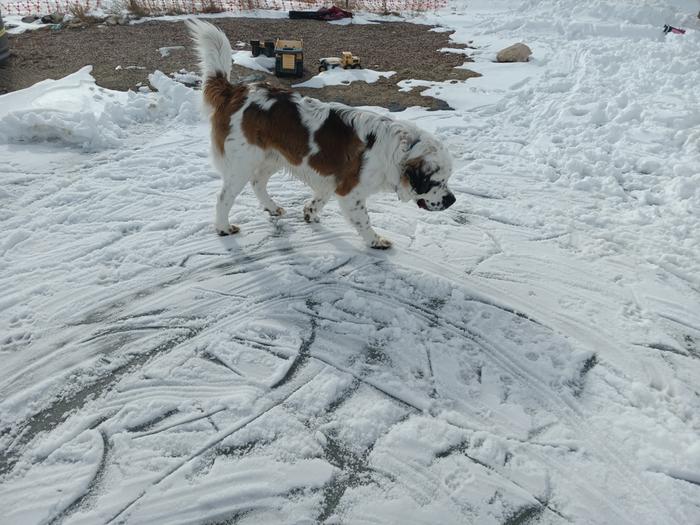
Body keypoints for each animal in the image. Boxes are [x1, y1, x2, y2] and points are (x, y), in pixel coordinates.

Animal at [185, 19, 454, 249]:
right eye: (437, 182)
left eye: (446, 181)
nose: (451, 200)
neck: (400, 150)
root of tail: (235, 91)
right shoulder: (351, 192)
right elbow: (364, 220)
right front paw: (375, 241)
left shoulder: (332, 178)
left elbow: (320, 197)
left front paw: (309, 213)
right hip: (243, 163)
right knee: (224, 196)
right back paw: (223, 228)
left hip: (274, 156)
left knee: (258, 182)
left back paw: (272, 207)